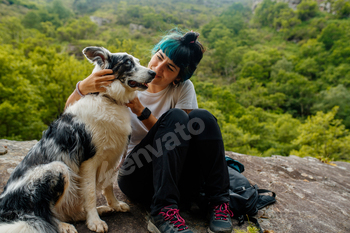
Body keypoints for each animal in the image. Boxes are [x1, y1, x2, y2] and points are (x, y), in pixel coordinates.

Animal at [0, 46, 156, 232]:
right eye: (127, 63)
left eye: (138, 61)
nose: (154, 73)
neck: (108, 98)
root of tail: (8, 210)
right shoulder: (89, 161)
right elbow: (90, 192)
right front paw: (95, 222)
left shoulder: (112, 156)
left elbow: (108, 185)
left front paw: (115, 205)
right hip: (58, 168)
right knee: (42, 214)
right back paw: (63, 225)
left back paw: (98, 210)